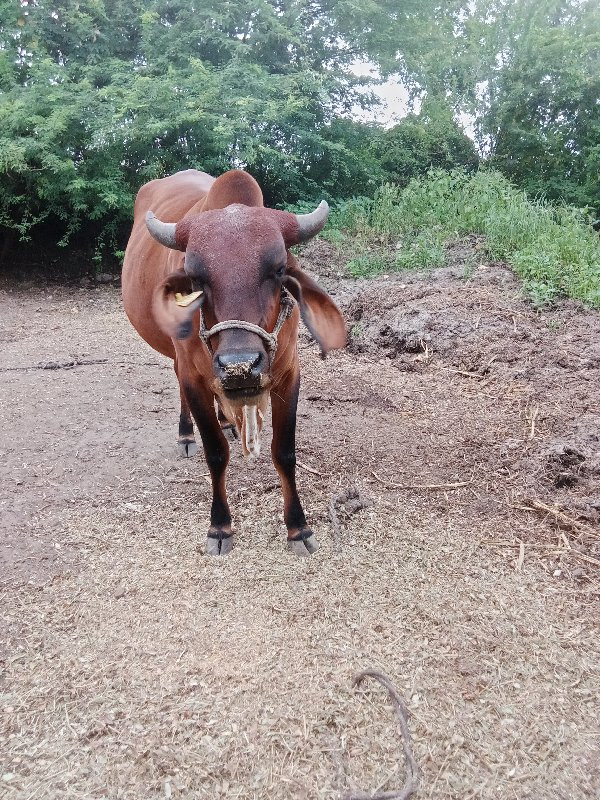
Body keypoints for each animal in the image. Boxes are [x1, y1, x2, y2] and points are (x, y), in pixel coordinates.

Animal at [122, 169, 344, 556]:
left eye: (279, 269)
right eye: (196, 278)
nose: (239, 366)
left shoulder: (289, 374)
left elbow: (284, 452)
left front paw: (298, 528)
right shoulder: (196, 378)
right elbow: (215, 452)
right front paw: (220, 527)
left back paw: (227, 420)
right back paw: (186, 434)